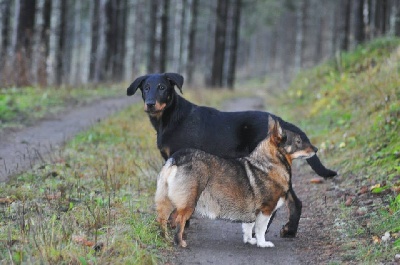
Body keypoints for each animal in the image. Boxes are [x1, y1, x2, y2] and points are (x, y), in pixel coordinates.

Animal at [155, 116, 316, 246]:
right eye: (298, 141)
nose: (316, 149)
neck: (270, 162)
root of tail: (177, 158)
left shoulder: (252, 212)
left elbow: (248, 228)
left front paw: (250, 241)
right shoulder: (266, 210)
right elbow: (261, 229)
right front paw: (262, 243)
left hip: (168, 201)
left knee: (163, 220)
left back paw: (166, 239)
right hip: (189, 203)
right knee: (179, 220)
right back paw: (180, 242)